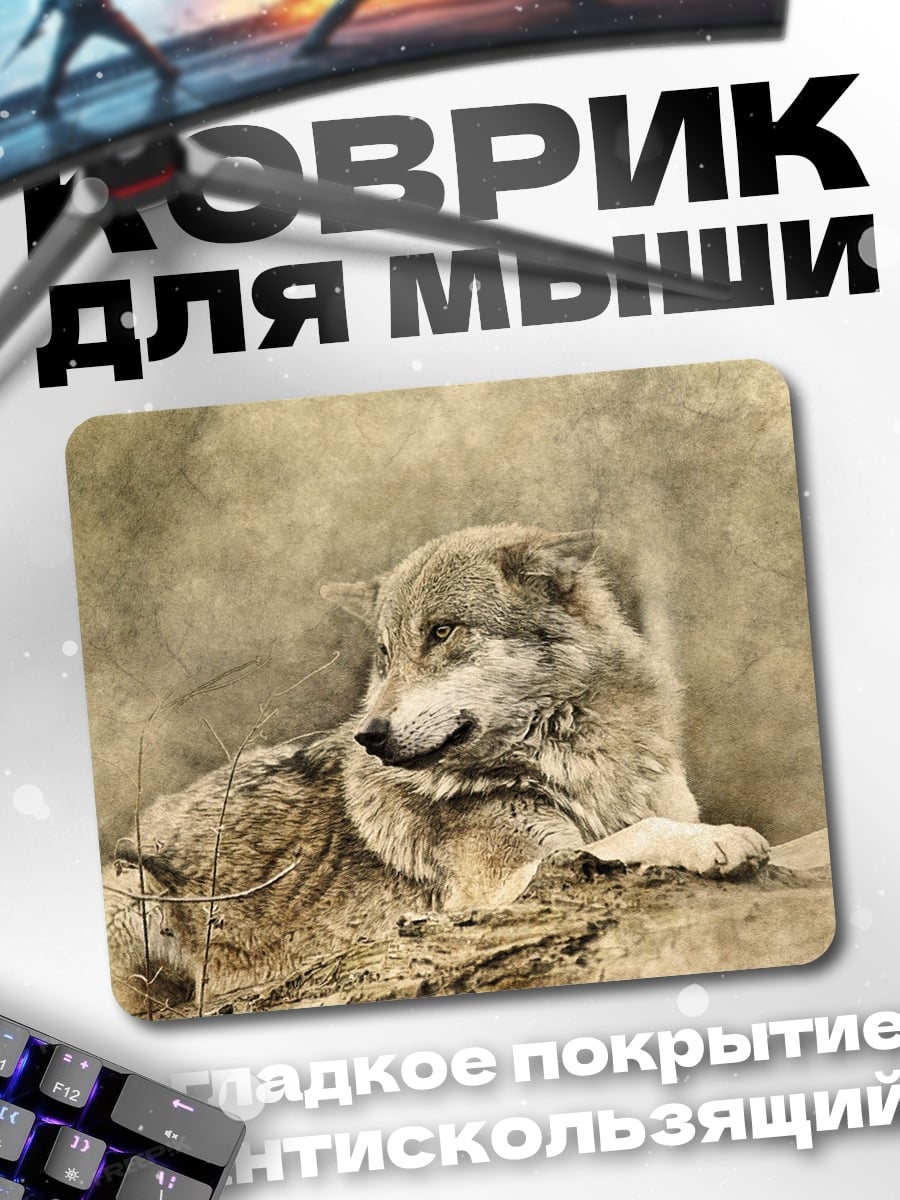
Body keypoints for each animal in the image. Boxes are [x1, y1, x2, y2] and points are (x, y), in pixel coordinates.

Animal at [107, 525, 768, 1015]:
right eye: (385, 654)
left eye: (442, 632)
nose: (368, 735)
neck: (574, 758)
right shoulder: (508, 880)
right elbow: (641, 833)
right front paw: (721, 840)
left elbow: (649, 822)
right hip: (130, 884)